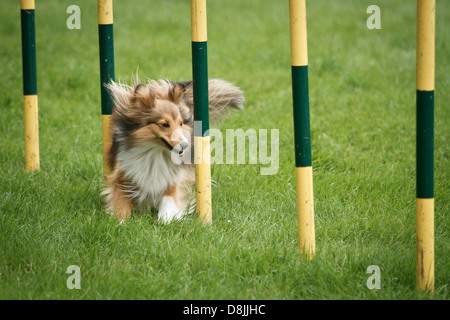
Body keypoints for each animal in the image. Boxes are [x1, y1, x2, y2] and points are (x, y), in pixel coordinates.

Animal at [102, 78, 244, 222]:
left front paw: (167, 218)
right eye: (165, 124)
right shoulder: (122, 174)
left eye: (180, 123)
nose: (186, 145)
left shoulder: (171, 179)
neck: (154, 152)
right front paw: (120, 221)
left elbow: (168, 202)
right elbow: (120, 202)